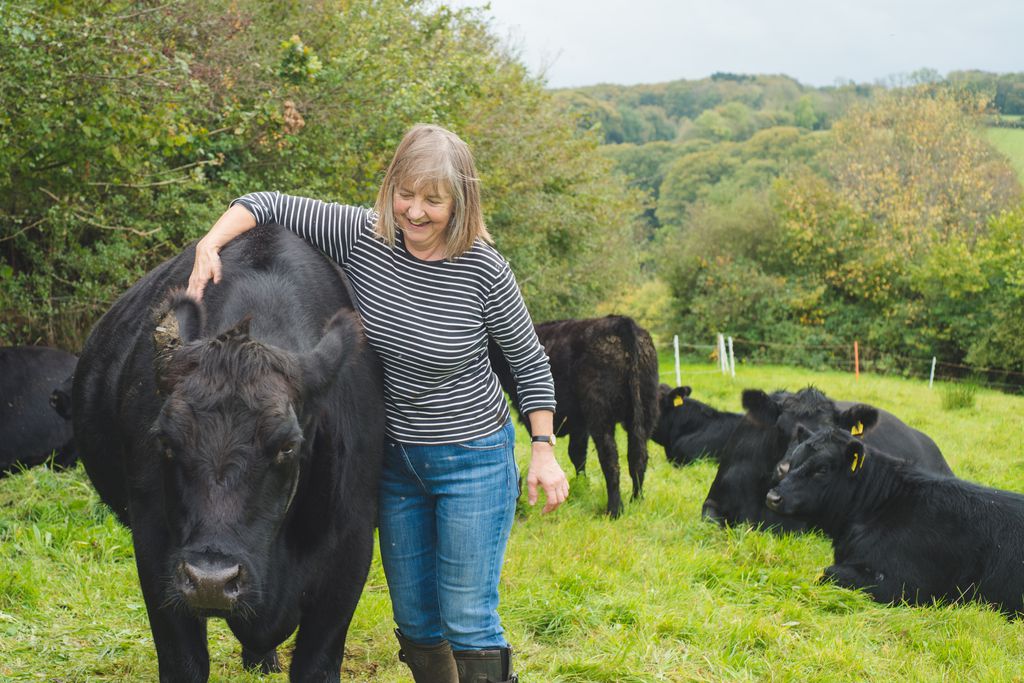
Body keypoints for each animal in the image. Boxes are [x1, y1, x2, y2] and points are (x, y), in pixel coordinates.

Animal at [72, 227, 385, 679]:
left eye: (287, 445)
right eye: (165, 441)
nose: (212, 581)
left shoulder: (350, 546)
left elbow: (317, 663)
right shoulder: (154, 546)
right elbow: (184, 662)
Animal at [485, 315, 655, 518]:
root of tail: (620, 322)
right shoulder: (579, 423)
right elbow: (578, 454)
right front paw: (582, 486)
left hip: (600, 412)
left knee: (610, 459)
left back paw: (614, 509)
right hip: (645, 407)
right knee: (638, 456)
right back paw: (636, 500)